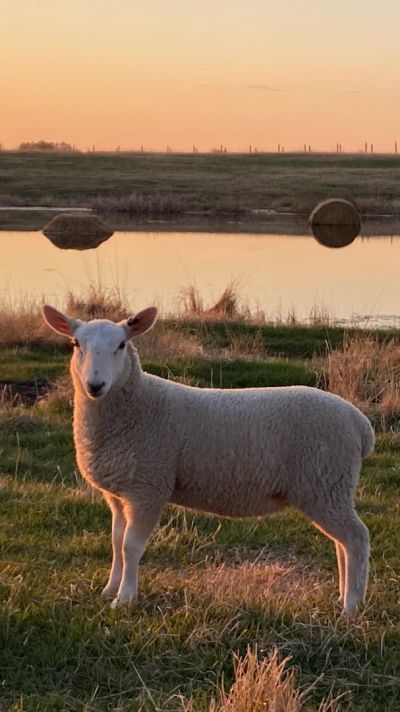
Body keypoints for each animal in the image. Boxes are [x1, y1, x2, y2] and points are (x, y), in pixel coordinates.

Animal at [42, 304, 374, 615]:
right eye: (75, 344)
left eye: (122, 345)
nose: (95, 385)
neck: (136, 406)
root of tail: (360, 424)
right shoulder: (119, 493)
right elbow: (116, 542)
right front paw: (110, 589)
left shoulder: (148, 487)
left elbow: (131, 546)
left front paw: (124, 599)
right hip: (328, 489)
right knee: (342, 542)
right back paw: (342, 596)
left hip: (326, 482)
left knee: (356, 538)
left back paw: (351, 606)